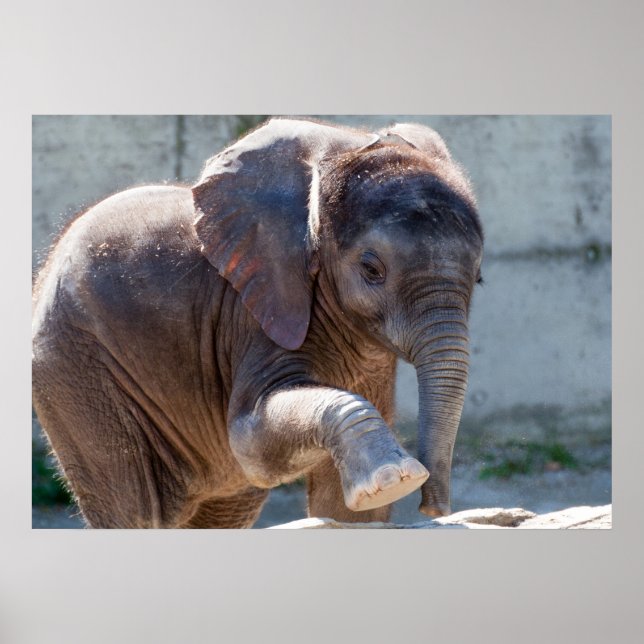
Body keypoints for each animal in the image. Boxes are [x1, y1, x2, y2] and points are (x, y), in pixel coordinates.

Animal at [32, 117, 483, 528]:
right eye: (372, 270)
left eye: (479, 276)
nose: (432, 509)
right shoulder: (255, 313)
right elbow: (251, 443)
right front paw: (395, 479)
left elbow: (347, 509)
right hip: (75, 372)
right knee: (135, 509)